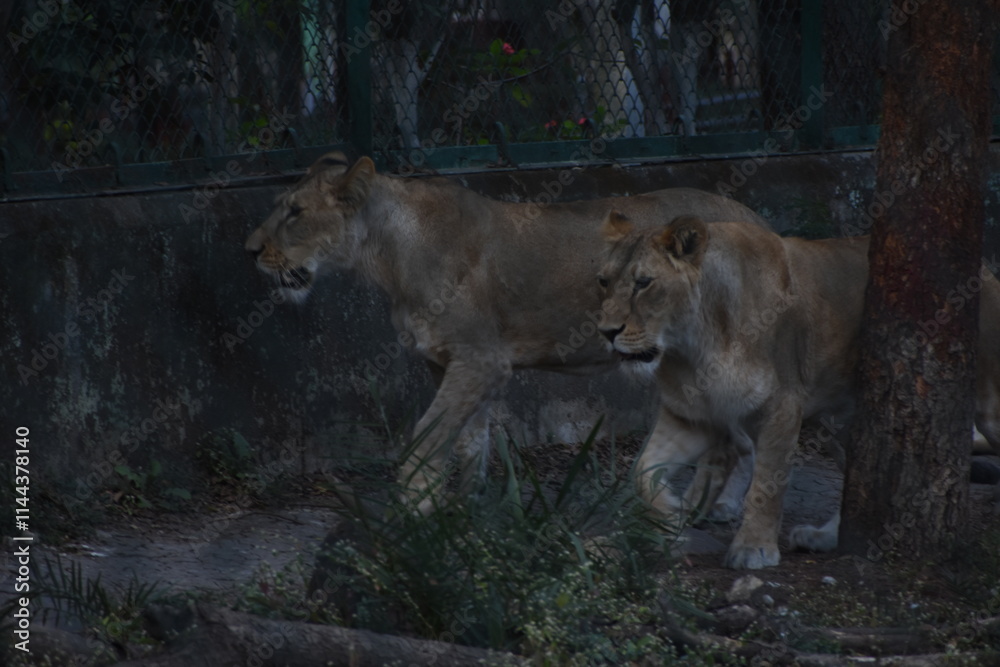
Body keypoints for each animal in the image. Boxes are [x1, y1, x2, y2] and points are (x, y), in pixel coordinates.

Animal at [244, 152, 769, 513]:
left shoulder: (481, 359)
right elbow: (468, 445)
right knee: (739, 438)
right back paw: (721, 507)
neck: (389, 256)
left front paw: (414, 515)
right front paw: (465, 512)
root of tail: (755, 218)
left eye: (295, 212)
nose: (249, 249)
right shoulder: (448, 363)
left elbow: (425, 440)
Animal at [596, 211, 1000, 569]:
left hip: (988, 405)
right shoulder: (692, 417)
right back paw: (821, 537)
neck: (693, 345)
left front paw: (753, 549)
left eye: (644, 283)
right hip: (842, 424)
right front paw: (673, 513)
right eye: (603, 281)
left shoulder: (782, 405)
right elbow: (643, 470)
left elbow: (768, 483)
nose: (606, 332)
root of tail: (984, 269)